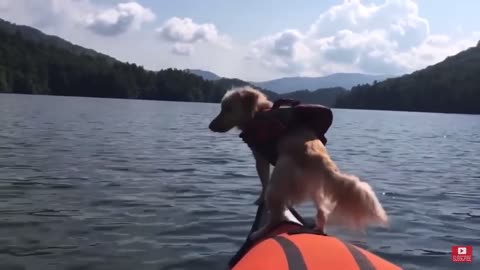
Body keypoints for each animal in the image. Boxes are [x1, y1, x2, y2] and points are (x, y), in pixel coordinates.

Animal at [208, 85, 388, 239]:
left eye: (228, 109)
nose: (210, 126)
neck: (259, 112)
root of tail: (320, 160)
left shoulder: (260, 159)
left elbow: (263, 183)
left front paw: (259, 200)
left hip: (276, 187)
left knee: (276, 218)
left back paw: (259, 233)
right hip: (316, 190)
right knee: (322, 213)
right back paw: (316, 229)